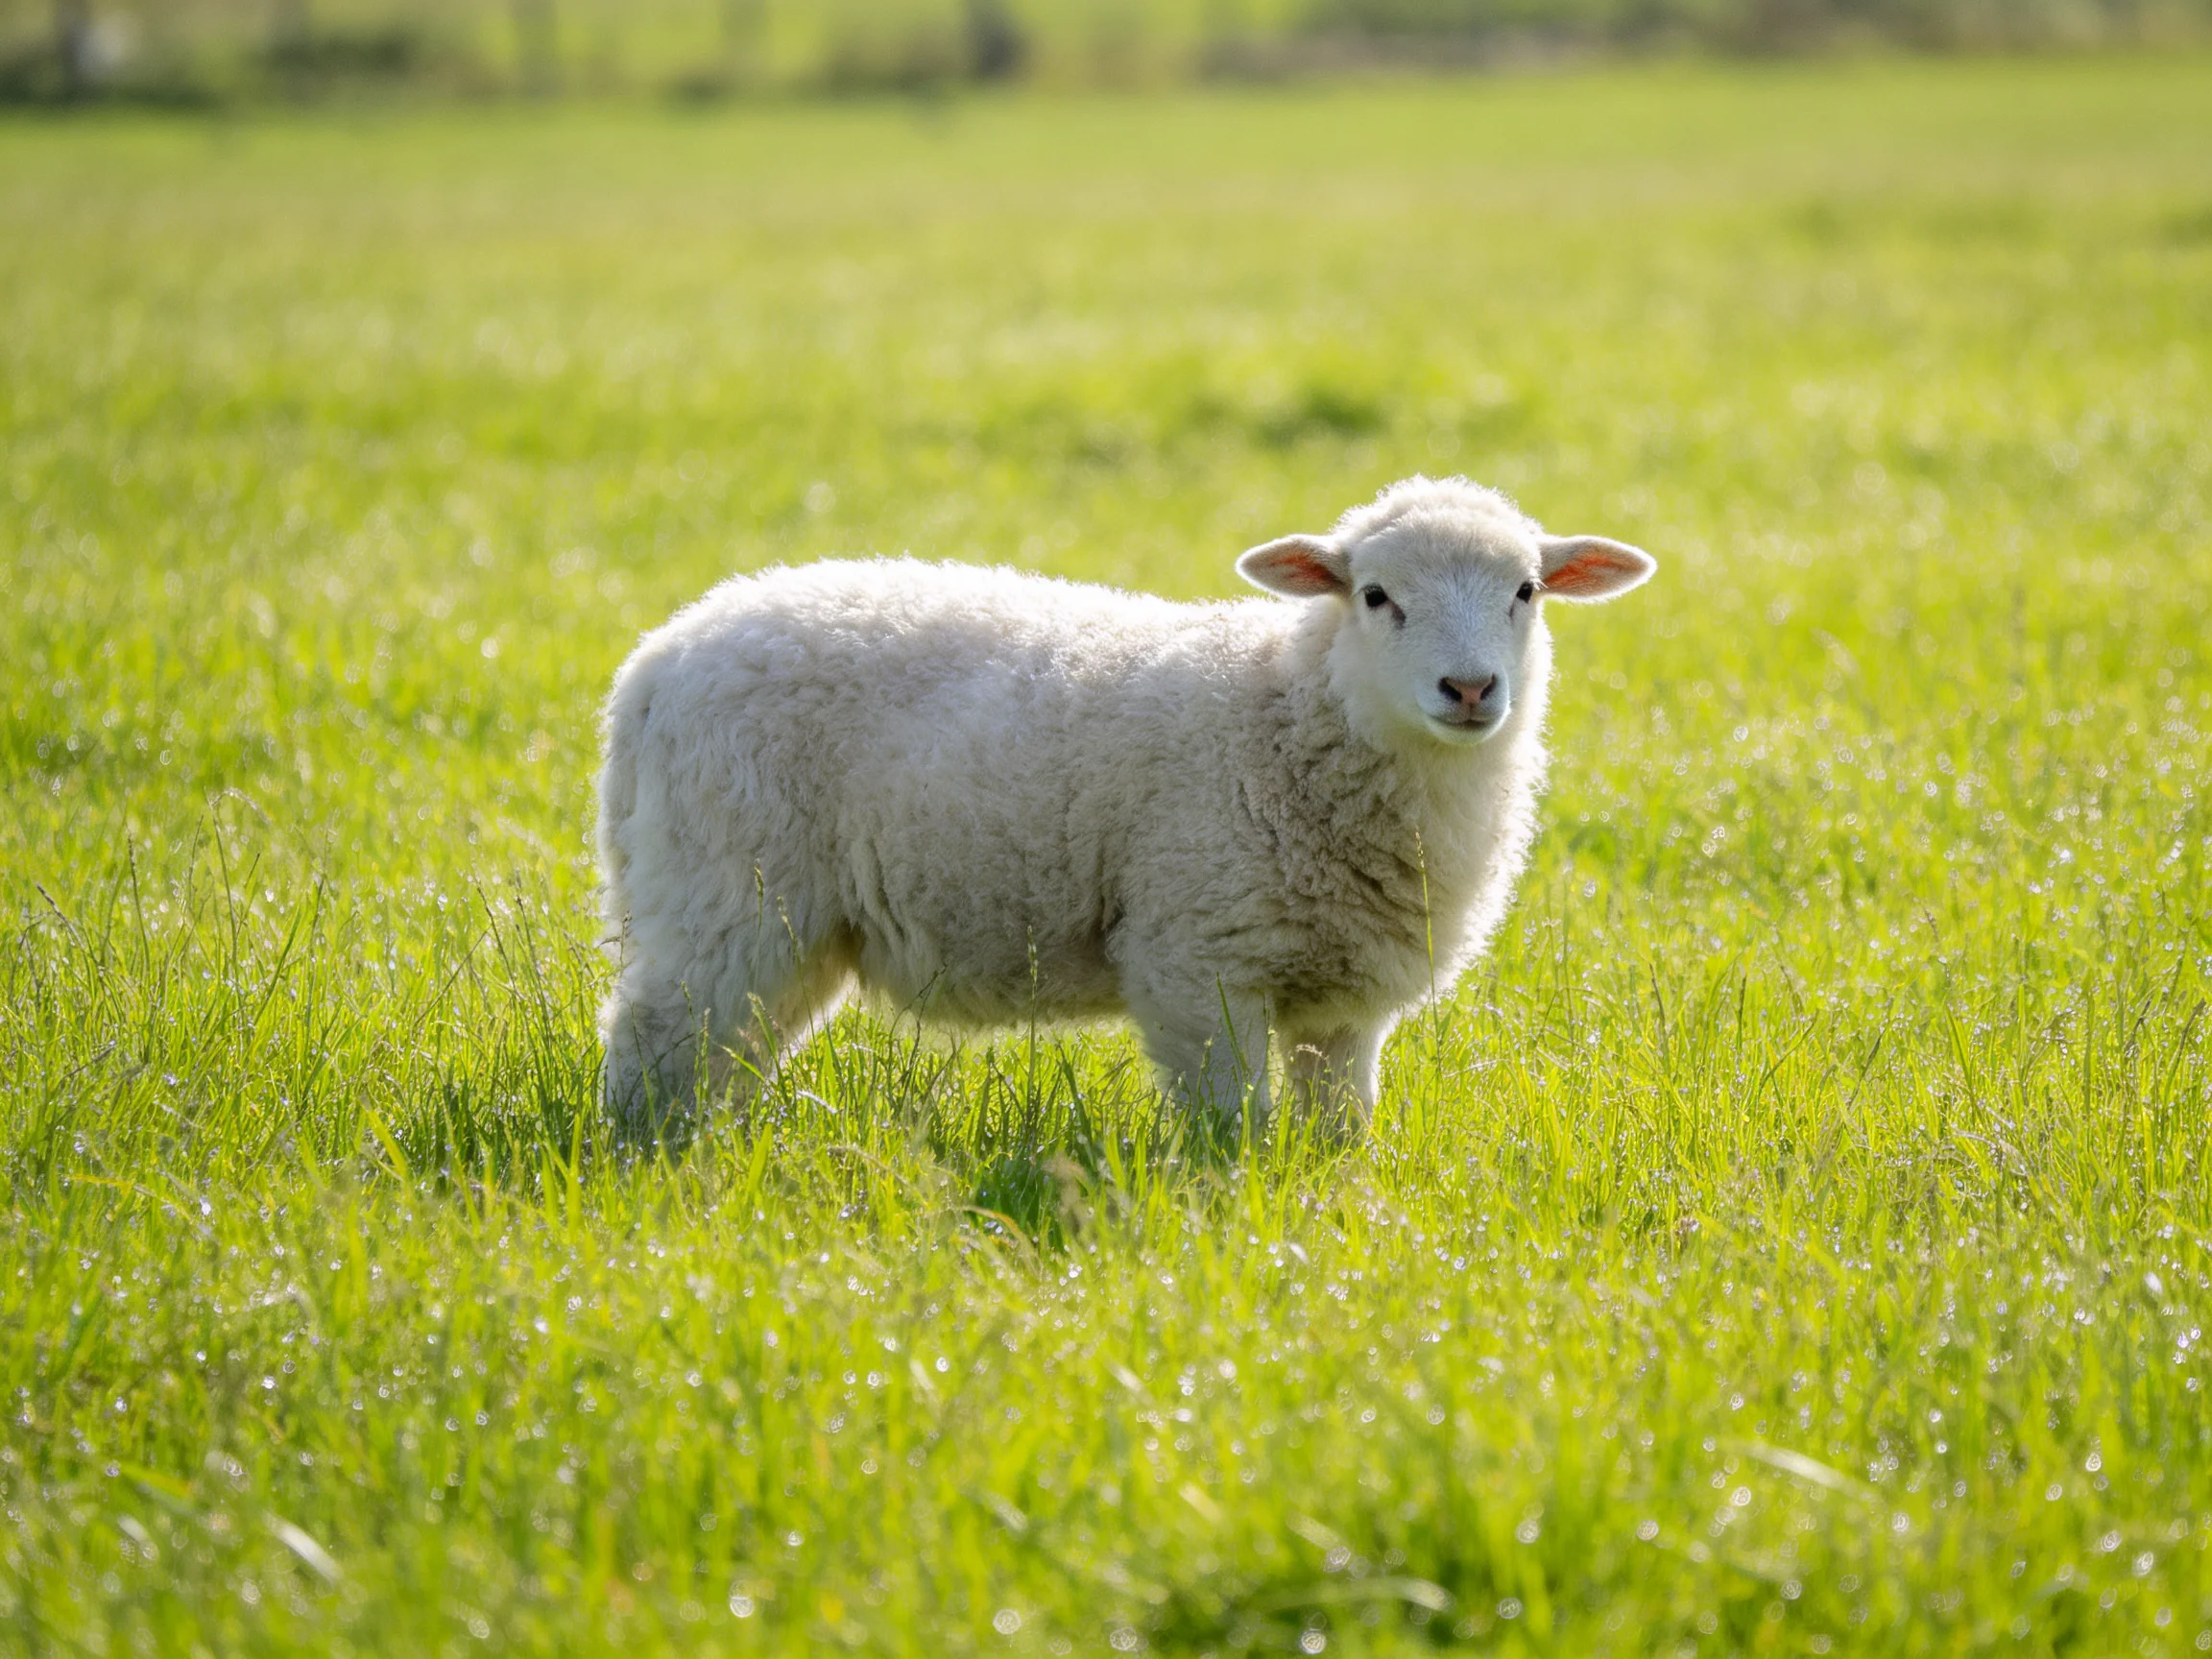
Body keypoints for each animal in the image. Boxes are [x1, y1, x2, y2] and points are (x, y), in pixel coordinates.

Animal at [595, 474, 1654, 1144]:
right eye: (1375, 595)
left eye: (1527, 590)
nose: (1469, 689)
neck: (1288, 712)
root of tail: (656, 661)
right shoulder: (1196, 956)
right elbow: (1234, 1122)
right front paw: (1237, 1208)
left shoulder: (1345, 998)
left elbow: (1338, 1127)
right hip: (728, 885)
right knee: (655, 1042)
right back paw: (659, 1168)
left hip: (785, 922)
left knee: (729, 1048)